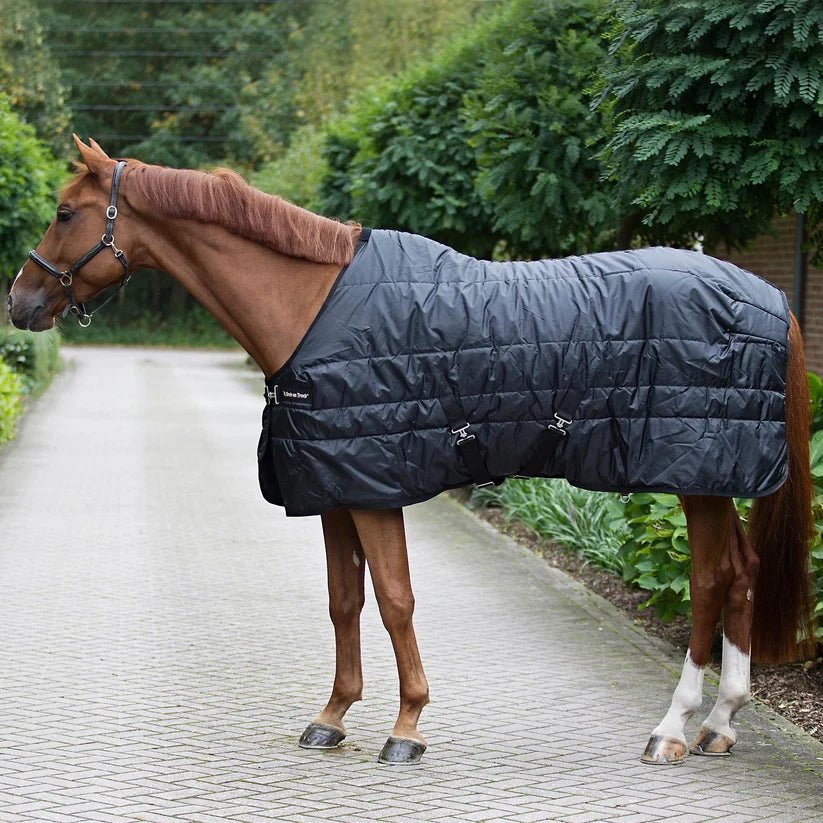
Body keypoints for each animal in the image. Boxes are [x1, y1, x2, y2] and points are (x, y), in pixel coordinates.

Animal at [9, 136, 814, 766]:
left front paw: (406, 727)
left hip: (696, 475)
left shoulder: (373, 488)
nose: (19, 302)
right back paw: (719, 724)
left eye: (65, 211)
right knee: (741, 575)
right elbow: (344, 601)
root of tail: (768, 298)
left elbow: (395, 601)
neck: (314, 306)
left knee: (709, 580)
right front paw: (332, 716)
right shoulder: (333, 486)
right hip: (716, 477)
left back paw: (672, 727)